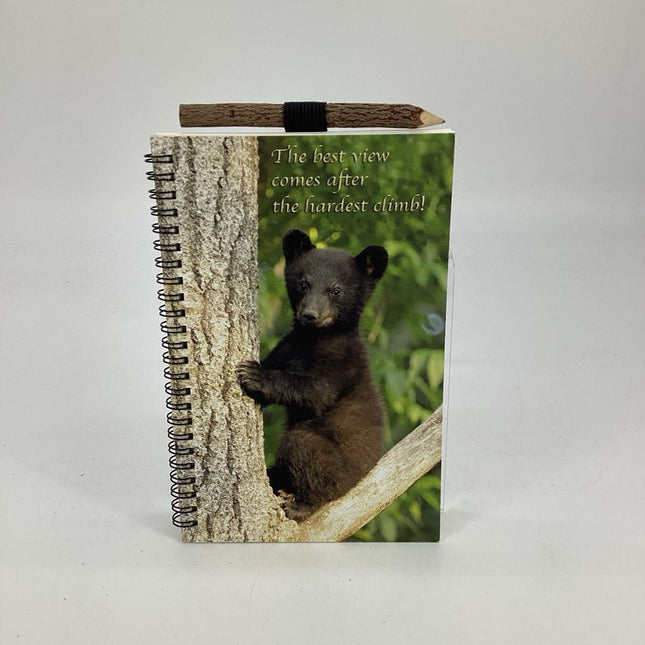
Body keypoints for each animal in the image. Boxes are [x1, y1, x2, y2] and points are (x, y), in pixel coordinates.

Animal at [237, 228, 388, 521]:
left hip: (339, 467)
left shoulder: (342, 360)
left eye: (336, 290)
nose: (310, 315)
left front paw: (254, 374)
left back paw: (300, 504)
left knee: (303, 449)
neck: (313, 338)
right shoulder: (288, 346)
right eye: (303, 284)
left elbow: (317, 391)